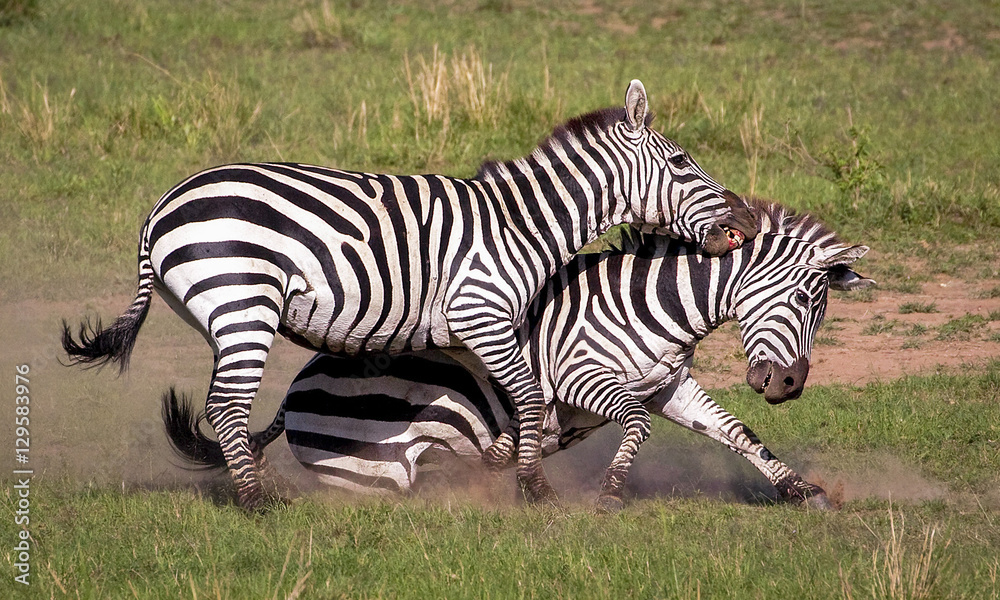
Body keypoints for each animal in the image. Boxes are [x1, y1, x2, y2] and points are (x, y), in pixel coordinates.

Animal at [62, 80, 757, 511]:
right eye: (684, 165)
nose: (745, 224)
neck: (522, 223)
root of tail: (160, 210)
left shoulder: (483, 330)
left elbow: (513, 399)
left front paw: (500, 463)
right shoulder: (481, 312)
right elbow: (529, 399)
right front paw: (534, 490)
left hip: (225, 314)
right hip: (243, 303)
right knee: (227, 407)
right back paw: (259, 504)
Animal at [163, 199, 873, 510]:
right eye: (807, 297)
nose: (788, 386)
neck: (654, 307)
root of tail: (291, 395)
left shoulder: (669, 384)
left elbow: (736, 432)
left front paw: (800, 489)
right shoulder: (584, 378)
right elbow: (635, 426)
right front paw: (609, 492)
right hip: (382, 467)